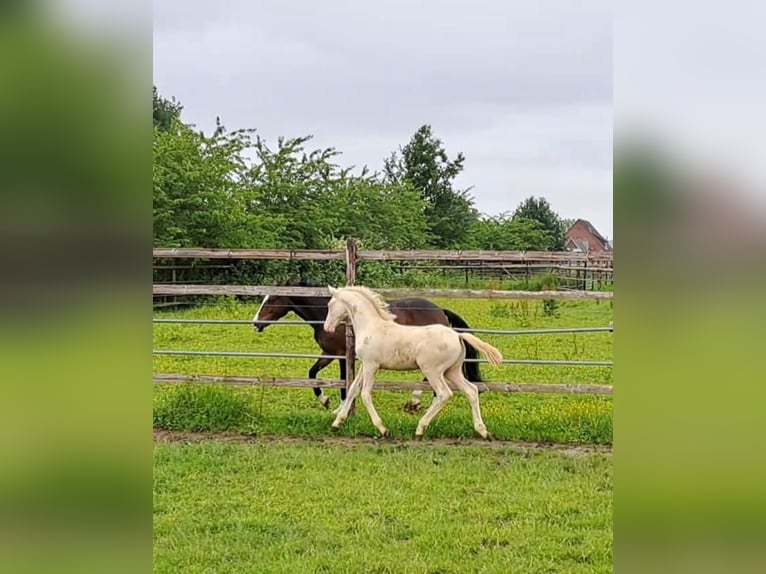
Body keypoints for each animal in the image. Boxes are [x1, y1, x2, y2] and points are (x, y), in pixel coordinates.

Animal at [254, 282, 486, 412]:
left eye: (273, 299)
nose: (256, 323)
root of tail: (440, 310)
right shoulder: (328, 353)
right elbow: (312, 373)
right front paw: (325, 401)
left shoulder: (341, 355)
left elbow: (343, 381)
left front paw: (340, 407)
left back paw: (415, 402)